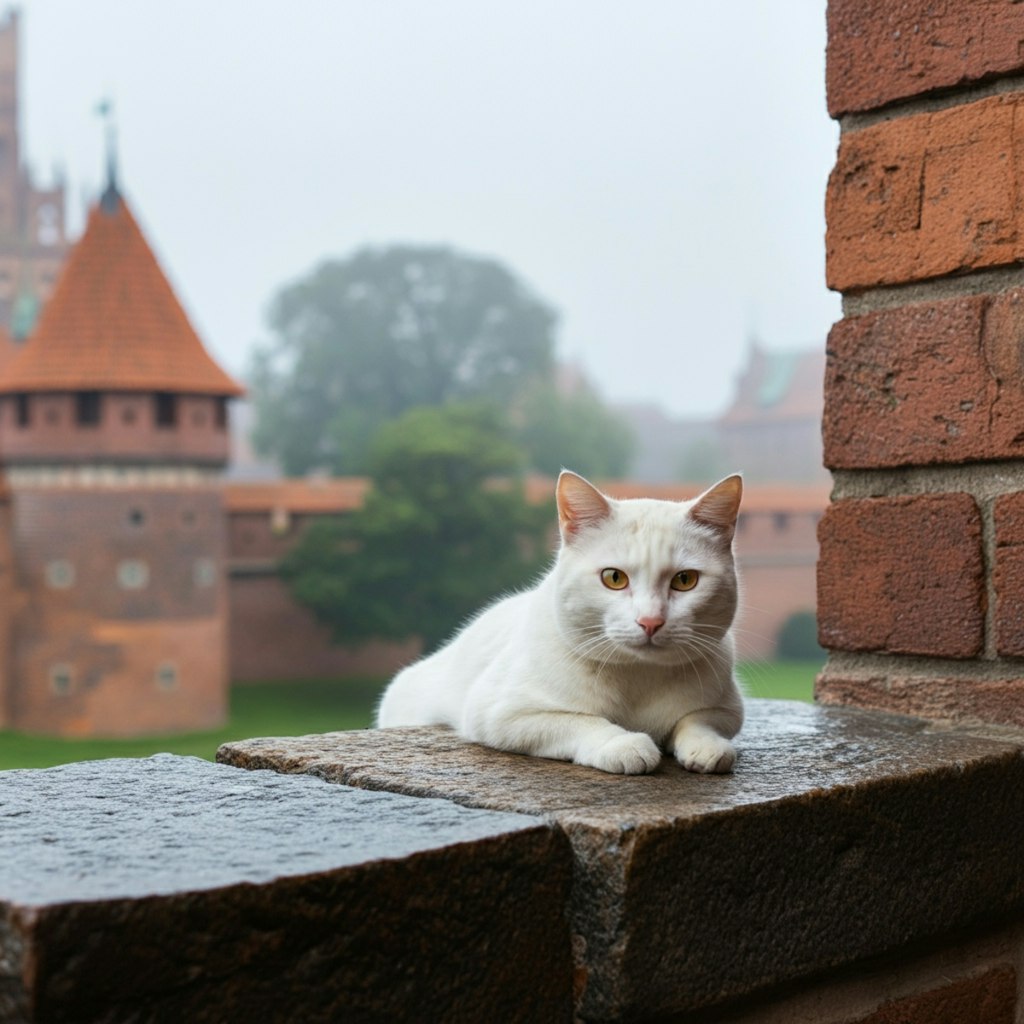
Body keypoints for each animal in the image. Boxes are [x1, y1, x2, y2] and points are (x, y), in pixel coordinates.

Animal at [376, 471, 745, 774]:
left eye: (685, 580)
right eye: (614, 578)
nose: (650, 621)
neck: (638, 677)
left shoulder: (727, 708)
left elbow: (697, 720)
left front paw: (706, 746)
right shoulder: (502, 713)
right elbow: (580, 721)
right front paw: (623, 744)